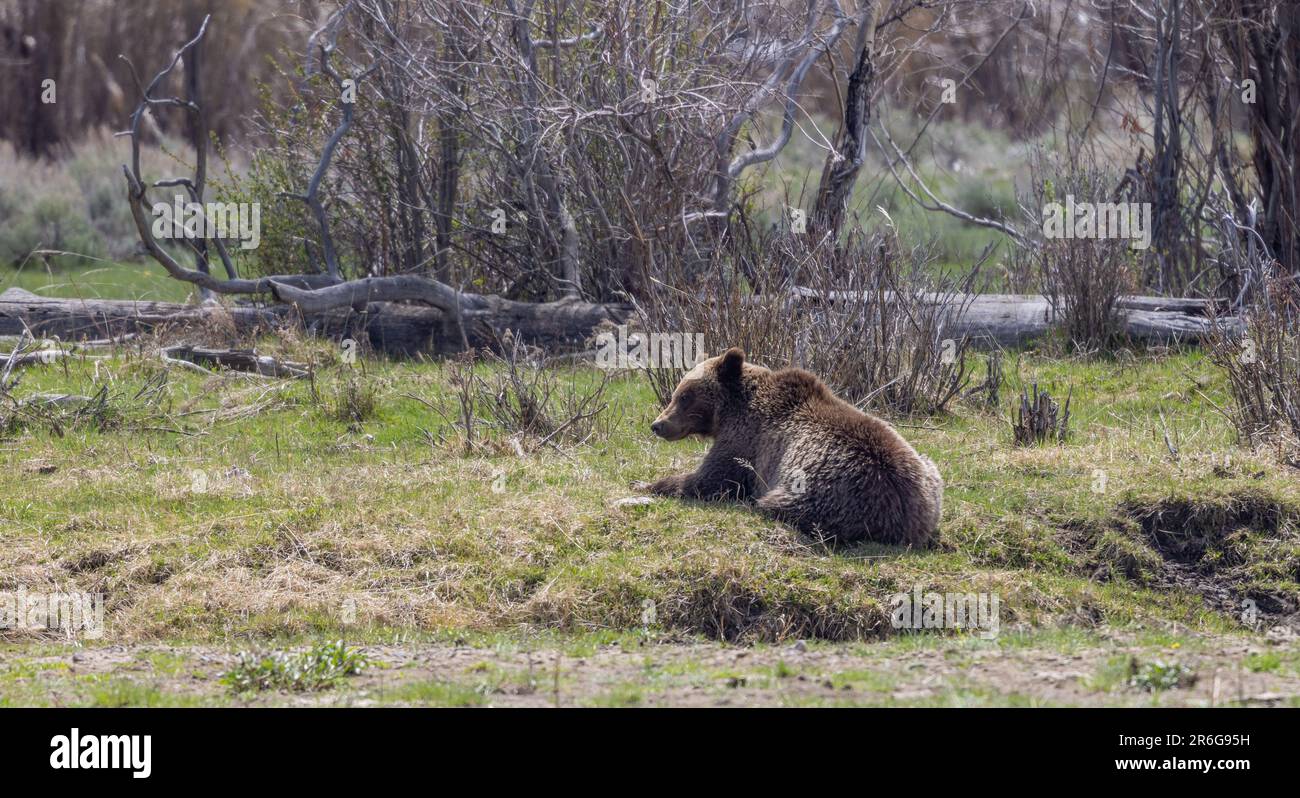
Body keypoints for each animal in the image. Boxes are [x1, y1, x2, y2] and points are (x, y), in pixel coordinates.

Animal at [647, 348, 942, 547]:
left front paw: (653, 484)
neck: (730, 411)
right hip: (930, 473)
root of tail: (909, 519)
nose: (658, 424)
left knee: (779, 504)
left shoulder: (745, 443)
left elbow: (712, 479)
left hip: (825, 490)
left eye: (684, 395)